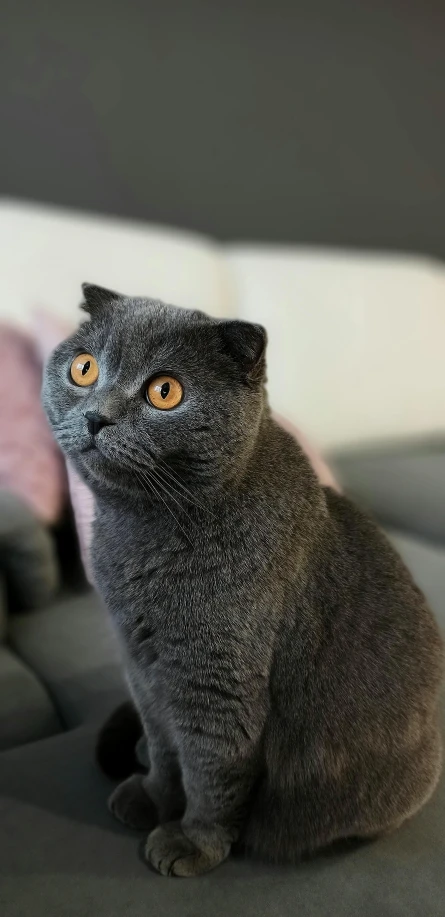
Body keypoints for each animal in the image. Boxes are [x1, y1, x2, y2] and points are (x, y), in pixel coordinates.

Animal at [40, 282, 440, 876]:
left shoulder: (216, 680)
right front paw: (151, 796)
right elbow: (166, 749)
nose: (97, 418)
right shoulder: (142, 667)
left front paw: (191, 843)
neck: (139, 534)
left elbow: (211, 772)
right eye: (84, 369)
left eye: (164, 392)